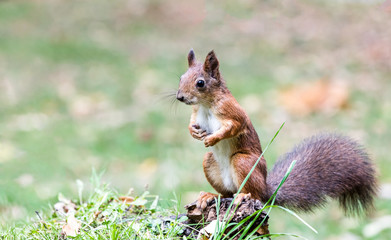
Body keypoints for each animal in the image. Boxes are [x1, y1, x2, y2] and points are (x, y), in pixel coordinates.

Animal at [176, 49, 378, 215]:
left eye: (200, 83)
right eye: (181, 77)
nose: (179, 97)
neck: (205, 105)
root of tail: (267, 190)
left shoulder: (232, 112)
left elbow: (233, 127)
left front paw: (213, 138)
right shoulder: (196, 114)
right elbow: (191, 123)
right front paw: (193, 132)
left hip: (243, 162)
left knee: (253, 194)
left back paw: (243, 196)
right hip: (210, 163)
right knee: (226, 193)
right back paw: (210, 196)